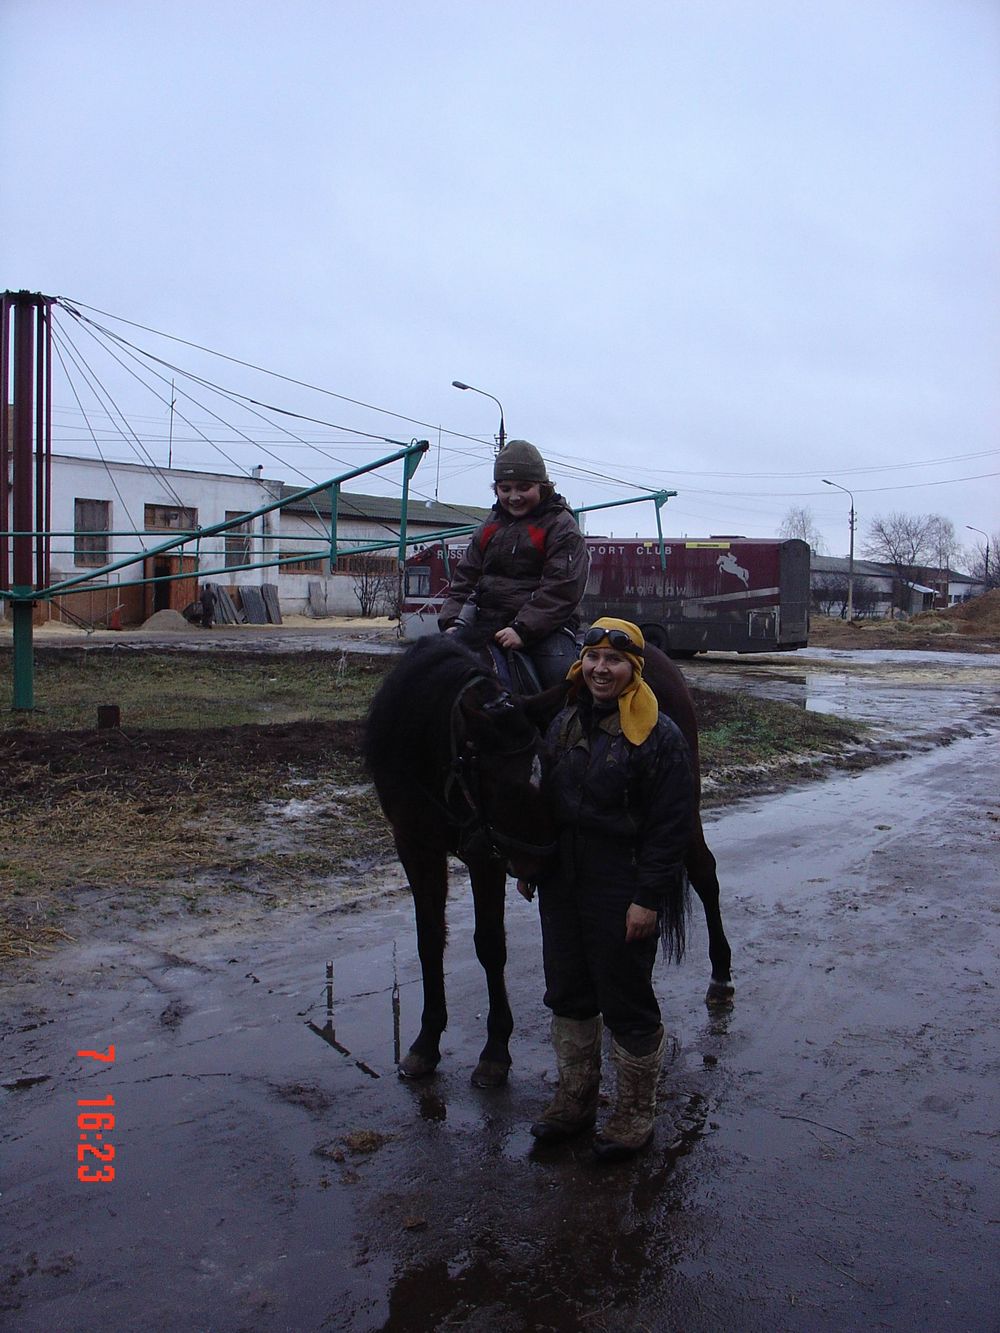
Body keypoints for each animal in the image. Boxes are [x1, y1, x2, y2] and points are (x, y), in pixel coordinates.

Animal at [364, 634, 733, 1087]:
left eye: (549, 766)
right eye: (501, 786)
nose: (542, 866)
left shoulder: (485, 854)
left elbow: (490, 945)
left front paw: (495, 1051)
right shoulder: (416, 847)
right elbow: (429, 940)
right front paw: (425, 1043)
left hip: (683, 803)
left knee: (704, 875)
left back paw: (720, 976)